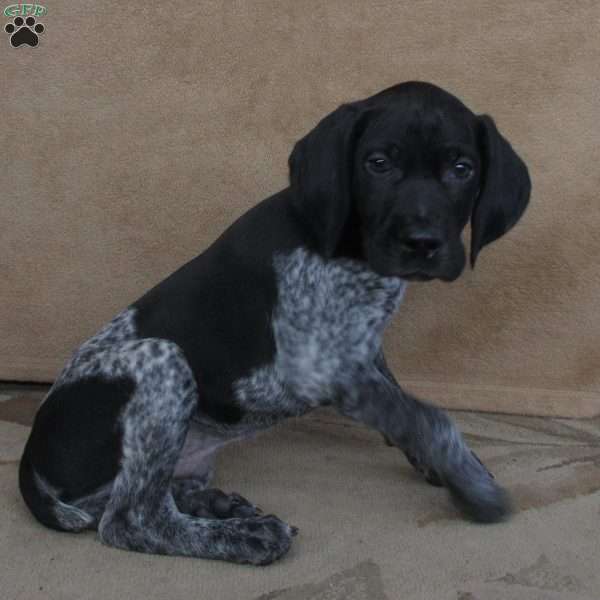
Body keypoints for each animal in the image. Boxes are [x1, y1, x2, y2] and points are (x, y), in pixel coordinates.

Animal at [19, 81, 528, 564]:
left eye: (462, 168)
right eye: (378, 164)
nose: (422, 242)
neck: (351, 250)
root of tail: (30, 462)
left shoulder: (360, 350)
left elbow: (402, 405)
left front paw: (453, 468)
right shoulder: (316, 366)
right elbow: (426, 416)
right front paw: (475, 487)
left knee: (133, 497)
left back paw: (213, 505)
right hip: (163, 359)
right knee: (131, 519)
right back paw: (245, 537)